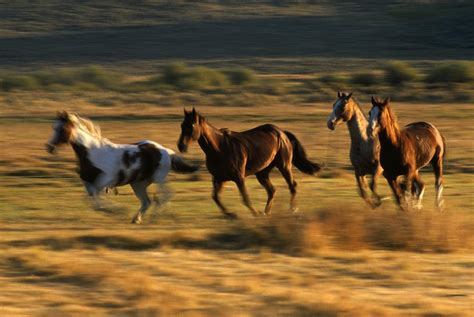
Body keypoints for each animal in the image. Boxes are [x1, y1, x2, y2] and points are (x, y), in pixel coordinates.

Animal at [46, 110, 198, 222]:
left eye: (62, 129)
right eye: (54, 127)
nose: (49, 147)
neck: (92, 152)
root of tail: (165, 150)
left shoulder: (104, 179)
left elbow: (96, 198)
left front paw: (118, 210)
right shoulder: (88, 182)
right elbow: (92, 200)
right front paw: (114, 210)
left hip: (158, 178)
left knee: (166, 194)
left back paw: (155, 216)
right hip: (138, 184)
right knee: (146, 202)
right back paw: (136, 219)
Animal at [178, 107, 322, 218]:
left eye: (192, 125)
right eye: (182, 125)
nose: (181, 146)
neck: (219, 148)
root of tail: (282, 133)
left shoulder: (238, 177)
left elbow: (245, 198)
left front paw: (254, 213)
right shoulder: (219, 178)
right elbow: (215, 197)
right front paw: (231, 214)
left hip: (284, 166)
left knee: (292, 186)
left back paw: (292, 210)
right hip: (262, 172)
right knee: (272, 190)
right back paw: (266, 212)